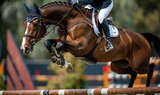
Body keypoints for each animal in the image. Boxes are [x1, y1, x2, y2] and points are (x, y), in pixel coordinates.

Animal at [20, 2, 160, 88]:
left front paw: (64, 63)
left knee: (150, 67)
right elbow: (49, 42)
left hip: (139, 64)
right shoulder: (66, 42)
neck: (70, 21)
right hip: (118, 65)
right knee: (133, 73)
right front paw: (59, 60)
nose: (24, 48)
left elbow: (59, 45)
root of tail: (142, 37)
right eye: (25, 24)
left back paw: (147, 87)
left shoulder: (81, 47)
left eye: (34, 24)